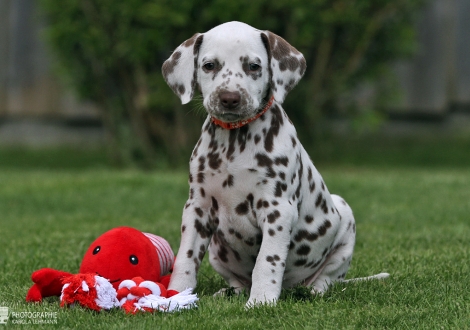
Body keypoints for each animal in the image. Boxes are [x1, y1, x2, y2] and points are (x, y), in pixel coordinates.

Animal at [162, 21, 390, 308]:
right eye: (209, 65)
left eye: (253, 66)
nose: (229, 98)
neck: (235, 143)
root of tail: (293, 287)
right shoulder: (197, 208)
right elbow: (186, 257)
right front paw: (176, 294)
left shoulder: (277, 208)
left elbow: (267, 260)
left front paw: (261, 301)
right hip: (217, 250)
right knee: (237, 281)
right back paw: (229, 292)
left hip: (344, 221)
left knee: (329, 278)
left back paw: (313, 290)